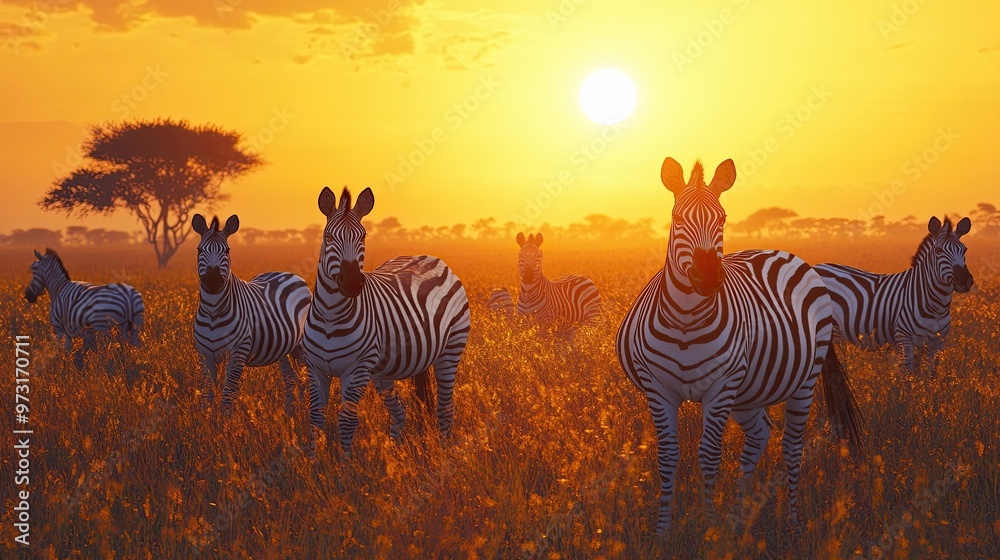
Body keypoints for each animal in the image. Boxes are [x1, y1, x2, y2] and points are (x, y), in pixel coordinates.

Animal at [192, 214, 312, 416]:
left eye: (227, 250)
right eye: (200, 249)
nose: (213, 281)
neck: (213, 311)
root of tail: (289, 274)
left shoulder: (238, 352)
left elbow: (228, 392)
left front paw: (225, 421)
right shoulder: (204, 354)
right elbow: (207, 393)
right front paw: (204, 420)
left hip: (301, 346)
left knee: (308, 379)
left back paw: (306, 413)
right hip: (284, 350)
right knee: (292, 379)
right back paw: (289, 414)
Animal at [302, 186, 471, 457]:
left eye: (363, 236)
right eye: (328, 237)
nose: (352, 283)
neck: (331, 315)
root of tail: (429, 257)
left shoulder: (357, 369)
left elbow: (346, 421)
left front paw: (345, 464)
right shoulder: (316, 368)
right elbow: (315, 419)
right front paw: (314, 463)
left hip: (450, 350)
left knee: (445, 409)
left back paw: (443, 454)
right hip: (385, 370)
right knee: (400, 411)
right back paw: (397, 456)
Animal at [616, 157, 864, 533]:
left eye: (722, 219)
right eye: (677, 219)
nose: (707, 278)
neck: (685, 320)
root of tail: (785, 253)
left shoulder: (720, 387)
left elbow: (709, 455)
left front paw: (708, 528)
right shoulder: (659, 388)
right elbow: (668, 456)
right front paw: (663, 530)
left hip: (802, 381)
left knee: (791, 446)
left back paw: (790, 521)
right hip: (748, 392)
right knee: (759, 435)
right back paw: (739, 517)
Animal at [815, 216, 973, 374]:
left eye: (965, 249)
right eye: (938, 250)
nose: (965, 280)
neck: (936, 305)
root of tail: (816, 267)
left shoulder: (938, 343)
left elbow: (929, 376)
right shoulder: (905, 339)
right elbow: (908, 376)